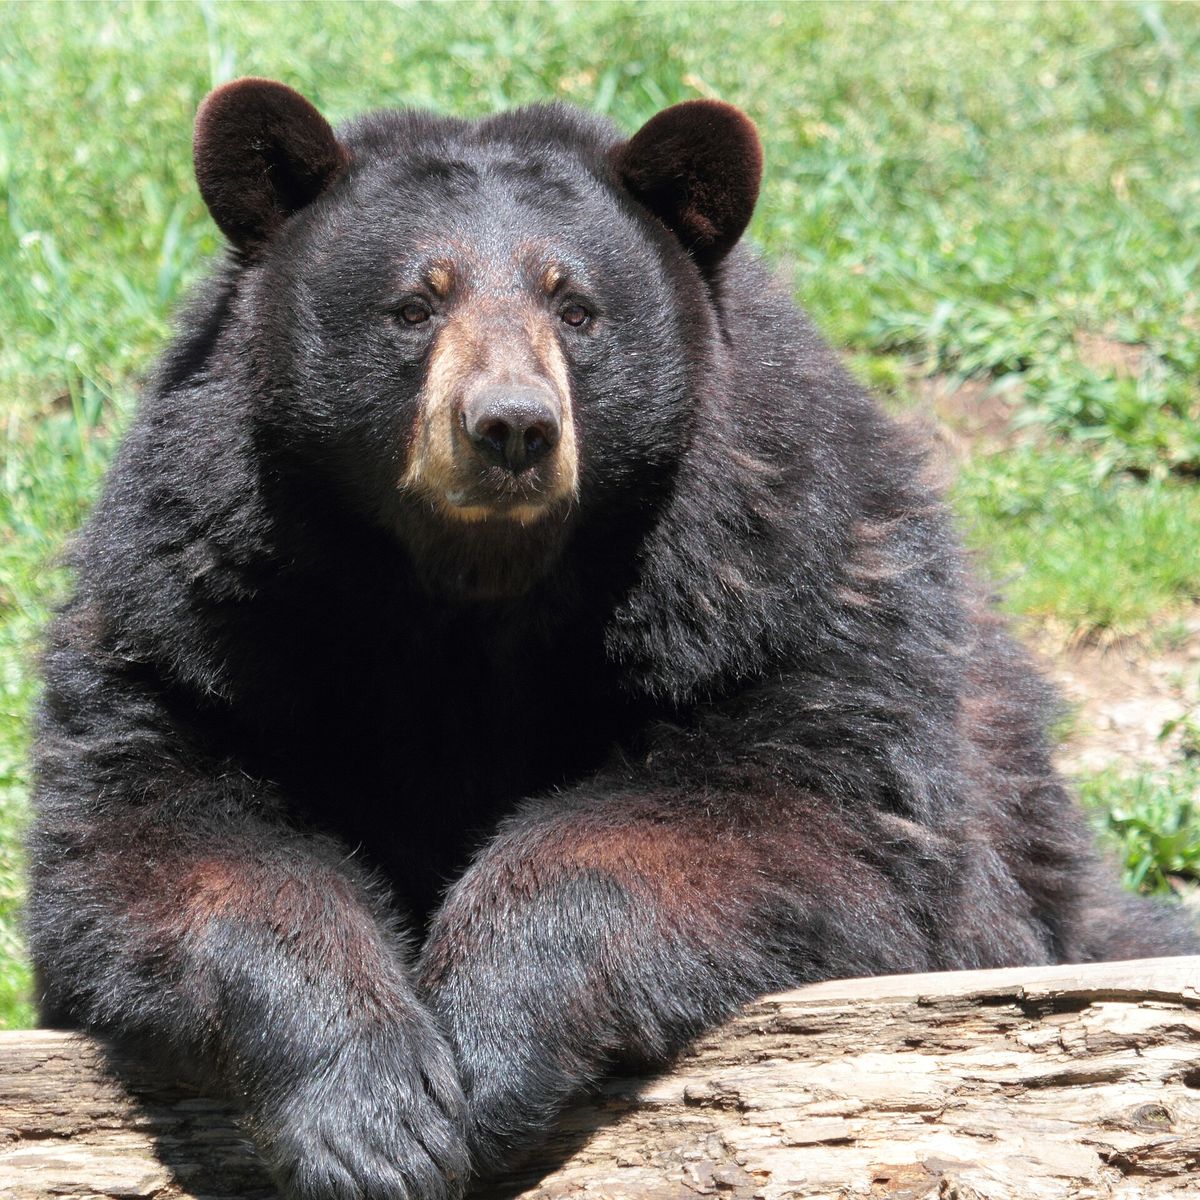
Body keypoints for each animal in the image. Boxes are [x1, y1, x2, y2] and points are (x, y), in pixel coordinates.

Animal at [27, 78, 1196, 1200]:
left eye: (576, 305)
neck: (476, 592)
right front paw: (374, 1120)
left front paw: (484, 1048)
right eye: (414, 303)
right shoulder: (201, 620)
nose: (510, 425)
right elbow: (158, 839)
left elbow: (781, 820)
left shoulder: (787, 601)